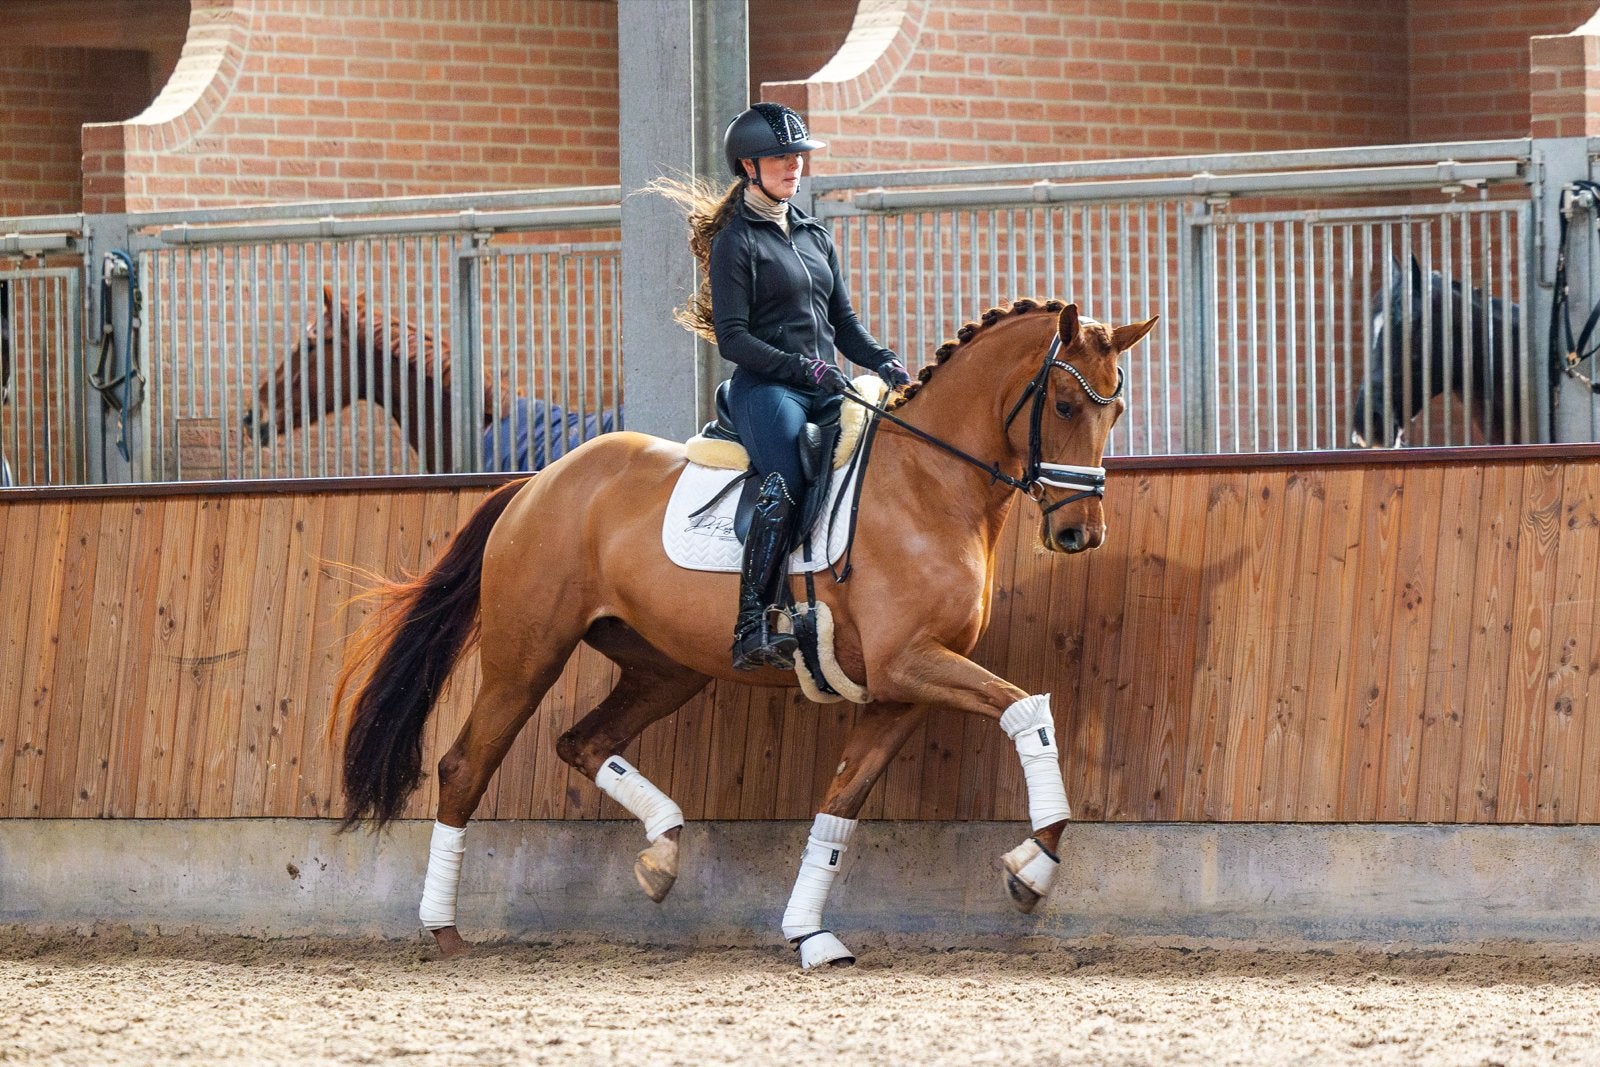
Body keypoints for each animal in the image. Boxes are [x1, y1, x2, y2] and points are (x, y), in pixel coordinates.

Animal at [333, 298, 1158, 969]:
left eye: (1116, 410)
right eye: (1061, 403)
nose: (1080, 532)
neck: (929, 483)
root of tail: (537, 483)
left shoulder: (900, 687)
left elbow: (841, 803)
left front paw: (809, 933)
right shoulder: (912, 662)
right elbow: (1026, 709)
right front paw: (1034, 864)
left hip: (665, 667)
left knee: (584, 742)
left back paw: (662, 854)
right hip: (525, 657)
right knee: (464, 766)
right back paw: (445, 930)